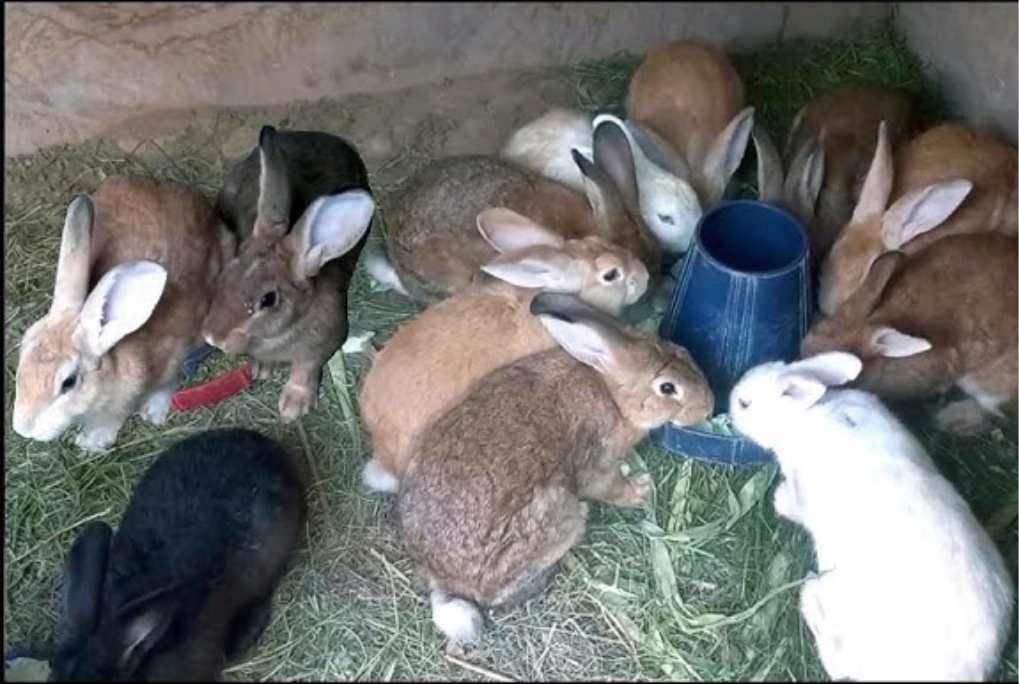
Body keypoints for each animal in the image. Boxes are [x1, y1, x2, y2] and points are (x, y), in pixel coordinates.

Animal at [12, 175, 235, 452]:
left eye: (68, 383)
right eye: (22, 354)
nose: (23, 429)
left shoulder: (175, 355)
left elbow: (166, 385)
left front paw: (147, 416)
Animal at [201, 125, 377, 422]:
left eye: (268, 299)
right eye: (228, 271)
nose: (213, 338)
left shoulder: (320, 348)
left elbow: (304, 371)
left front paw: (293, 406)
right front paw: (262, 370)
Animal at [397, 291, 714, 647]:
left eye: (684, 352)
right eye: (668, 388)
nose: (709, 406)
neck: (612, 395)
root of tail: (443, 577)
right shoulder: (598, 463)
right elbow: (609, 486)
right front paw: (640, 489)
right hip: (557, 510)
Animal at [728, 352, 1015, 681]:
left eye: (745, 403)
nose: (731, 400)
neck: (807, 414)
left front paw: (779, 498)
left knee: (838, 663)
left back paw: (810, 593)